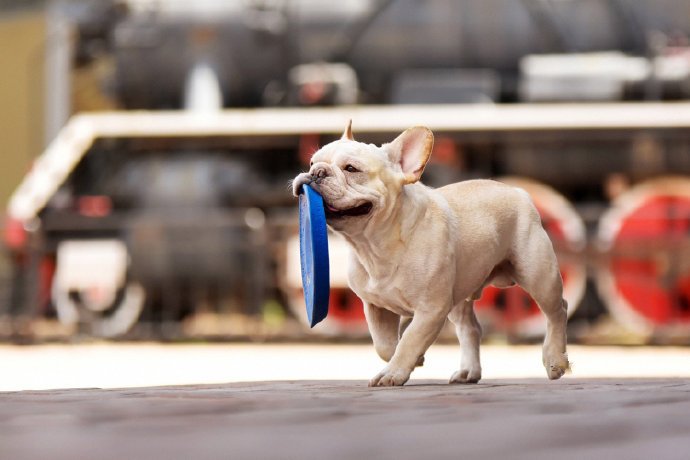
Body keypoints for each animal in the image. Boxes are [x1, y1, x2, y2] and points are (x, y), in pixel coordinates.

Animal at [292, 122, 568, 384]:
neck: (375, 244)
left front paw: (394, 372)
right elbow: (384, 345)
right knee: (470, 328)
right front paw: (409, 361)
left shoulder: (431, 310)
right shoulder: (375, 306)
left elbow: (410, 339)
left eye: (351, 169)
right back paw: (468, 371)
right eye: (312, 162)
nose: (316, 172)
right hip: (459, 292)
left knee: (557, 311)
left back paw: (555, 360)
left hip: (537, 275)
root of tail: (517, 190)